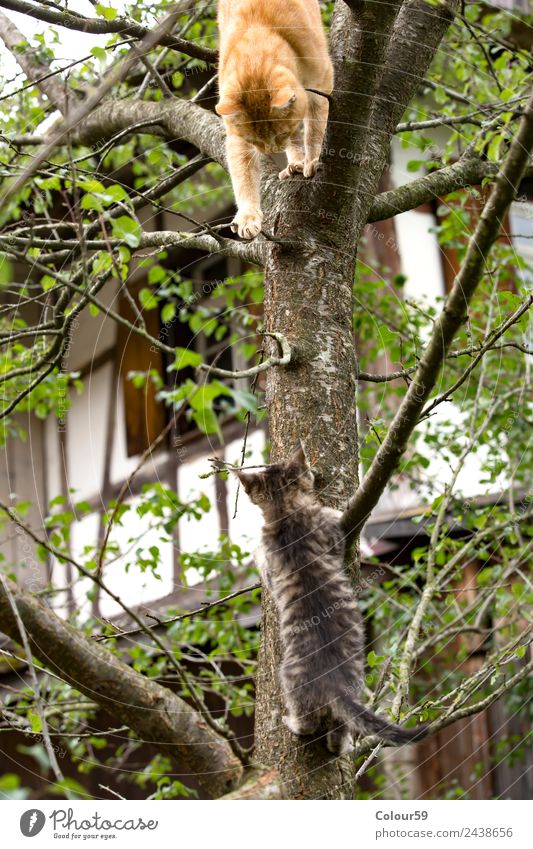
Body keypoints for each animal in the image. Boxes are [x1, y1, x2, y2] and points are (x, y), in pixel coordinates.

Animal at [214, 0, 330, 238]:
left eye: (280, 134)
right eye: (254, 141)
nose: (271, 150)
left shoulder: (320, 86)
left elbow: (315, 131)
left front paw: (313, 159)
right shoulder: (236, 138)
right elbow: (243, 177)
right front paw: (248, 216)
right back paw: (295, 162)